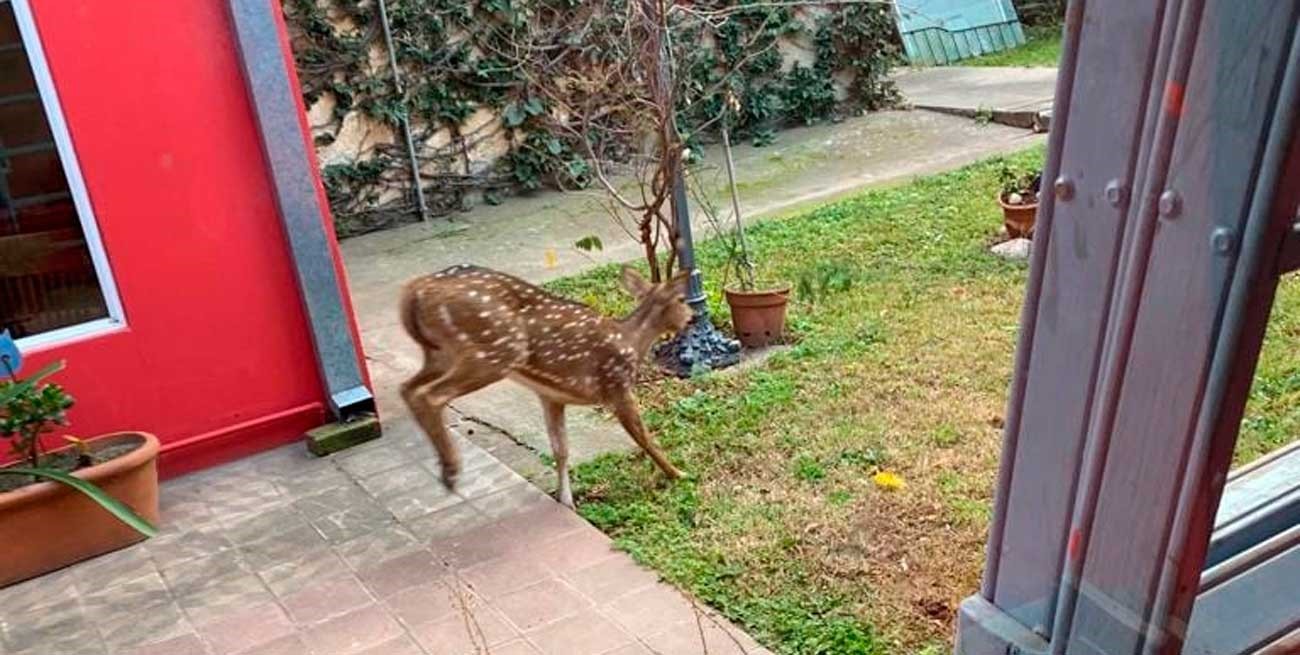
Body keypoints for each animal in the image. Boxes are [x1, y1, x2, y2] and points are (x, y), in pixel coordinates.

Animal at [399, 264, 692, 508]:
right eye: (680, 299)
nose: (692, 316)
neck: (631, 341)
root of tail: (415, 290)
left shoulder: (551, 396)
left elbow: (560, 449)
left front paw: (566, 501)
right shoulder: (616, 385)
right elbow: (644, 437)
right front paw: (678, 473)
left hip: (439, 353)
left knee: (407, 388)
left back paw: (444, 467)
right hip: (494, 351)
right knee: (432, 395)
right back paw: (451, 470)